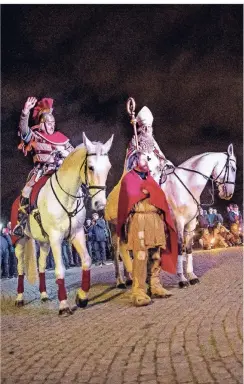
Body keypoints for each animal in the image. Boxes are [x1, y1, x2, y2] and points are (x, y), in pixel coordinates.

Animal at [15, 133, 113, 316]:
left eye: (108, 168)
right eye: (90, 167)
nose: (100, 204)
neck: (67, 196)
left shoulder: (77, 234)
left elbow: (87, 260)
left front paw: (82, 297)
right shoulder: (56, 238)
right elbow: (60, 269)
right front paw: (63, 305)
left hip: (44, 243)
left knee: (41, 265)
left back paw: (44, 295)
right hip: (20, 241)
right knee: (20, 268)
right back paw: (19, 298)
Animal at [109, 144, 236, 292]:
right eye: (233, 168)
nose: (228, 194)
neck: (184, 186)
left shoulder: (190, 225)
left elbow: (188, 249)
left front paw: (192, 276)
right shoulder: (178, 224)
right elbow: (180, 248)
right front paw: (182, 279)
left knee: (126, 250)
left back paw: (130, 278)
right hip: (115, 229)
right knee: (117, 252)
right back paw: (120, 281)